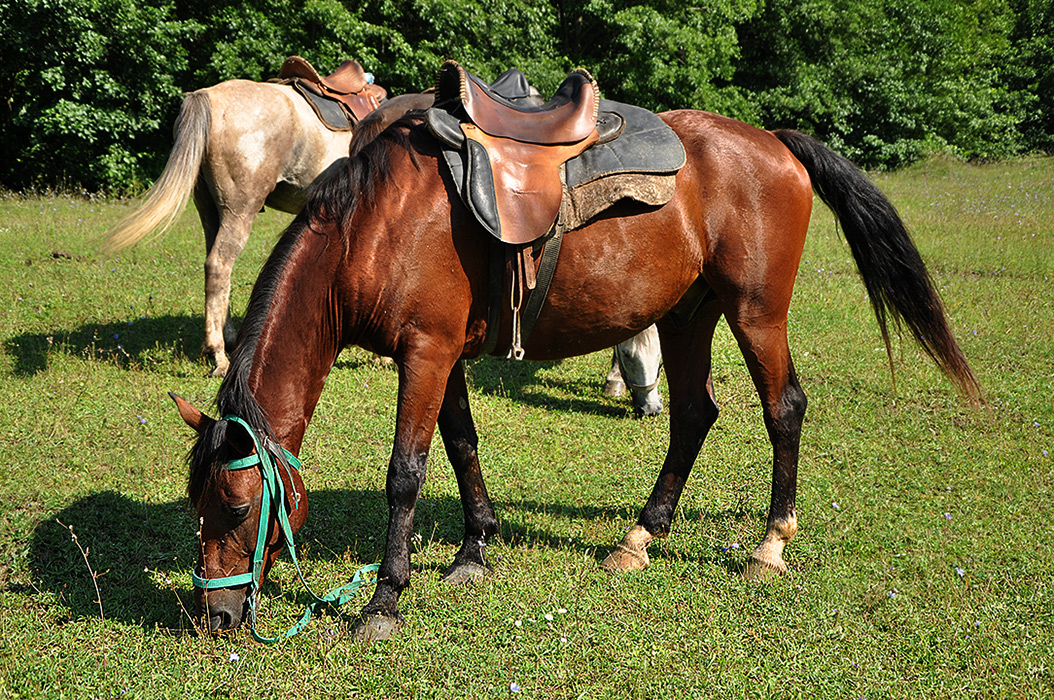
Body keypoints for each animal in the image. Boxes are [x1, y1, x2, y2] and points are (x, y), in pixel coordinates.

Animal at [170, 105, 978, 640]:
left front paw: (385, 602)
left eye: (237, 509)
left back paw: (770, 544)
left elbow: (407, 472)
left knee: (784, 407)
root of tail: (774, 143)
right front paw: (474, 551)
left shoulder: (426, 354)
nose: (215, 614)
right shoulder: (442, 356)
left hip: (756, 312)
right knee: (694, 415)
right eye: (194, 506)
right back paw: (639, 540)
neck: (375, 226)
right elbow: (461, 446)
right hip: (688, 315)